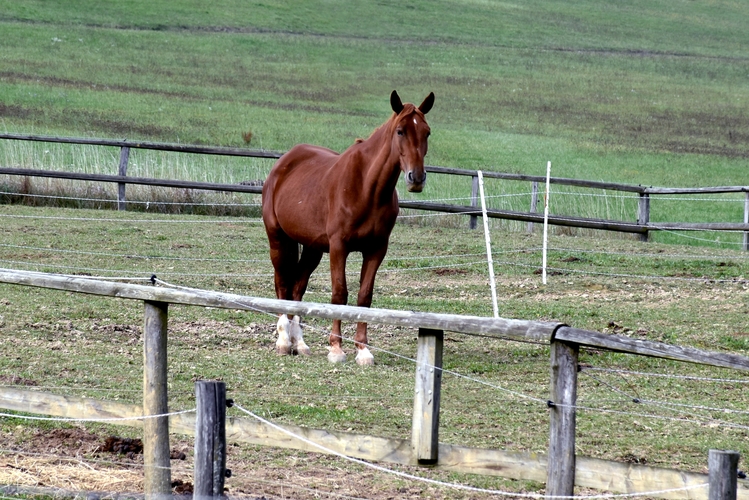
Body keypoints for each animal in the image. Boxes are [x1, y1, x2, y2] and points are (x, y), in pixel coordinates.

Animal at [262, 90, 432, 366]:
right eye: (400, 131)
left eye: (426, 132)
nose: (416, 178)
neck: (366, 188)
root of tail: (284, 163)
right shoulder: (339, 246)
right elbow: (339, 294)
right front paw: (336, 349)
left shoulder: (376, 249)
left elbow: (364, 297)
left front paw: (363, 350)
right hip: (278, 239)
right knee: (282, 284)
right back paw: (284, 341)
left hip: (312, 248)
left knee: (297, 288)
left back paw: (300, 343)